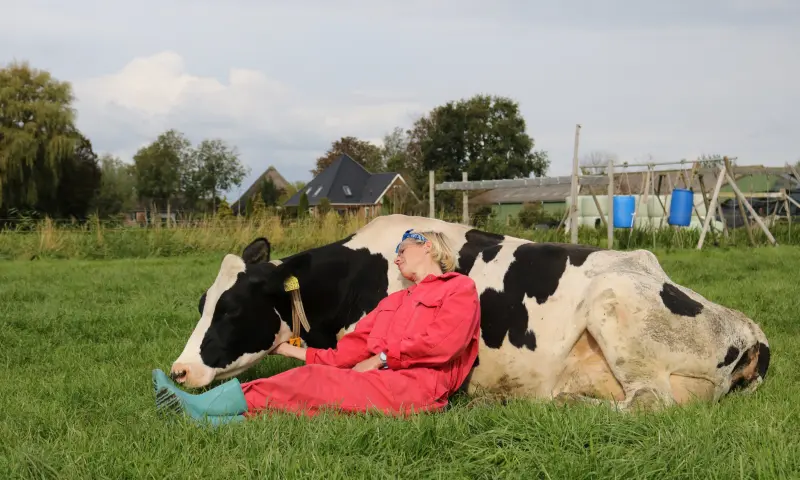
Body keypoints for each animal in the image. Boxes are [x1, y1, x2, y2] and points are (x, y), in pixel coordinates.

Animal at [167, 214, 771, 412]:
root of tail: (750, 328)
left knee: (647, 403)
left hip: (613, 305)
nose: (179, 370)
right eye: (201, 303)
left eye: (232, 309)